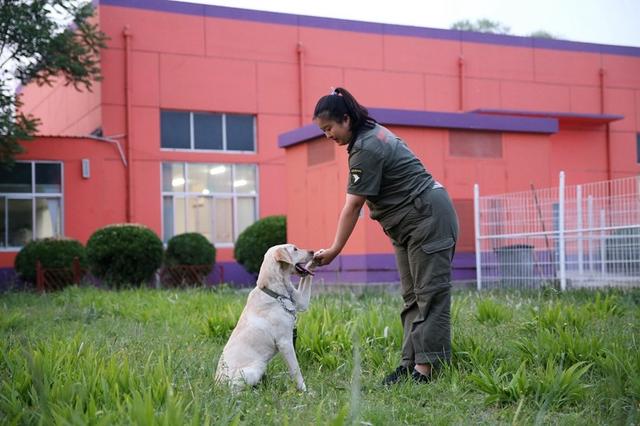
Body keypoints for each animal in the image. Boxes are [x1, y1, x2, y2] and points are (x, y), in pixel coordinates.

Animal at [215, 245, 316, 392]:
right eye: (295, 249)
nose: (312, 251)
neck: (275, 293)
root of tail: (217, 385)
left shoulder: (301, 302)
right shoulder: (285, 343)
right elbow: (296, 370)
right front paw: (305, 391)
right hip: (256, 367)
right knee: (235, 391)